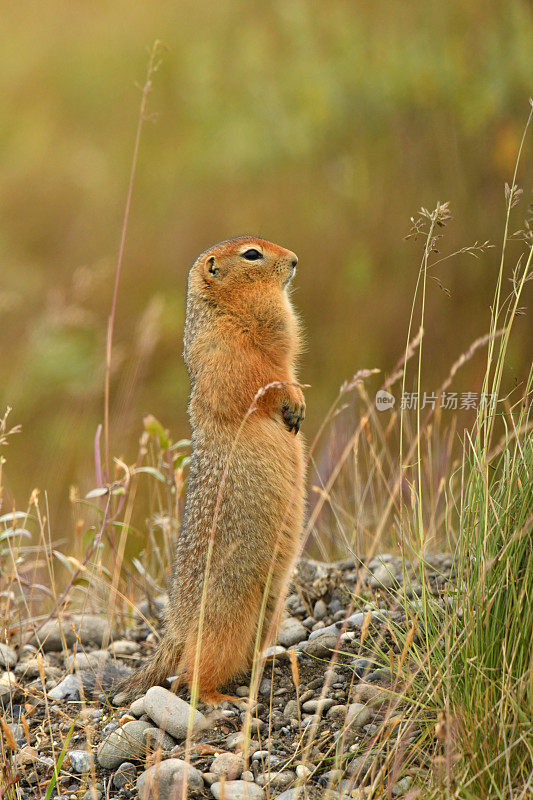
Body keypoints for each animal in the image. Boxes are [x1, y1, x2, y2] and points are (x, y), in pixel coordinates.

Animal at [125, 234, 306, 704]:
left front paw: (297, 407)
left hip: (268, 608)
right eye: (252, 254)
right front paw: (293, 400)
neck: (226, 312)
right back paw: (218, 697)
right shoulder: (227, 352)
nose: (295, 260)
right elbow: (258, 381)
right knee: (190, 674)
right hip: (226, 617)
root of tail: (177, 624)